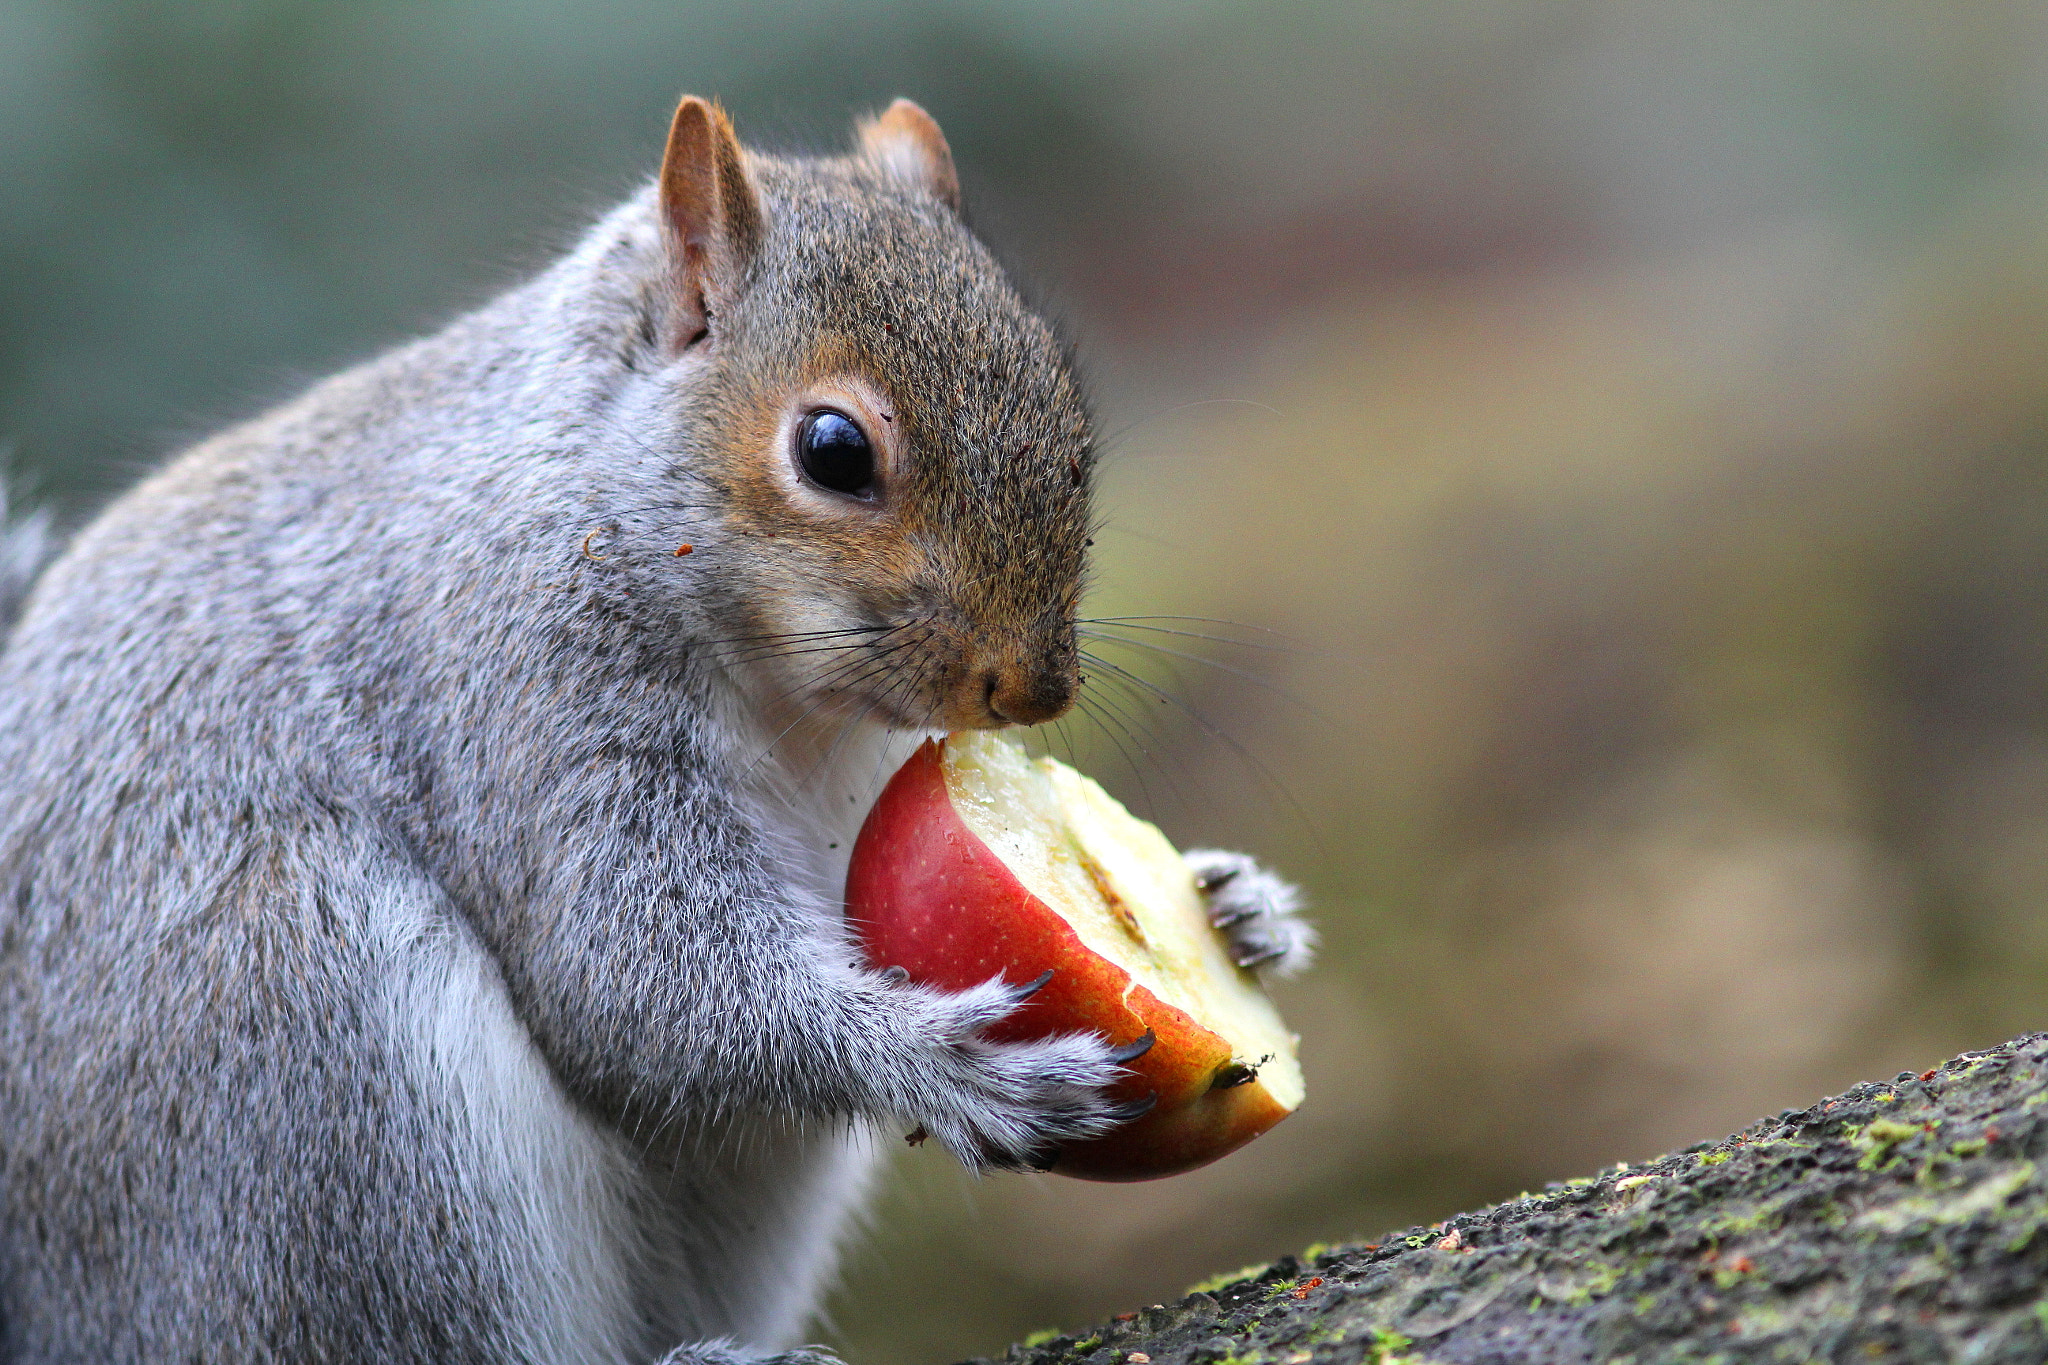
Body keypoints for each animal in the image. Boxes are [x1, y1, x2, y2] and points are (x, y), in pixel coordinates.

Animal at [0, 96, 1313, 1363]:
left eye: (1072, 429)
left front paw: (1232, 905)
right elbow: (632, 969)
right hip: (310, 1067)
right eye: (832, 450)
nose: (1032, 691)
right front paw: (939, 1061)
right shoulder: (520, 680)